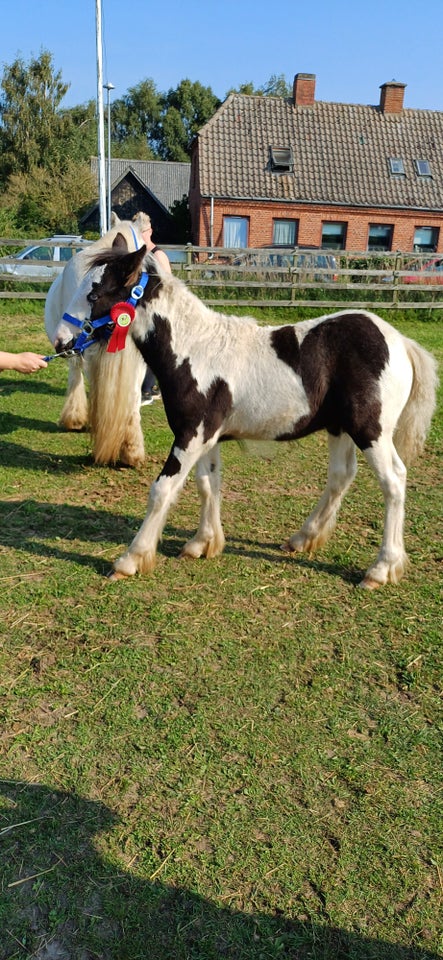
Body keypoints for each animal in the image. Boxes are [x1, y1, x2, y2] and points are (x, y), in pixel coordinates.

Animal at [53, 240, 440, 588]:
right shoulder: (207, 437)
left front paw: (131, 559)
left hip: (370, 431)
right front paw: (203, 543)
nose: (60, 341)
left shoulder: (191, 435)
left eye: (94, 294)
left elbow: (162, 490)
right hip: (339, 428)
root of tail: (401, 342)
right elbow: (208, 484)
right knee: (341, 476)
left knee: (393, 481)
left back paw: (380, 570)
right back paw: (302, 539)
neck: (194, 349)